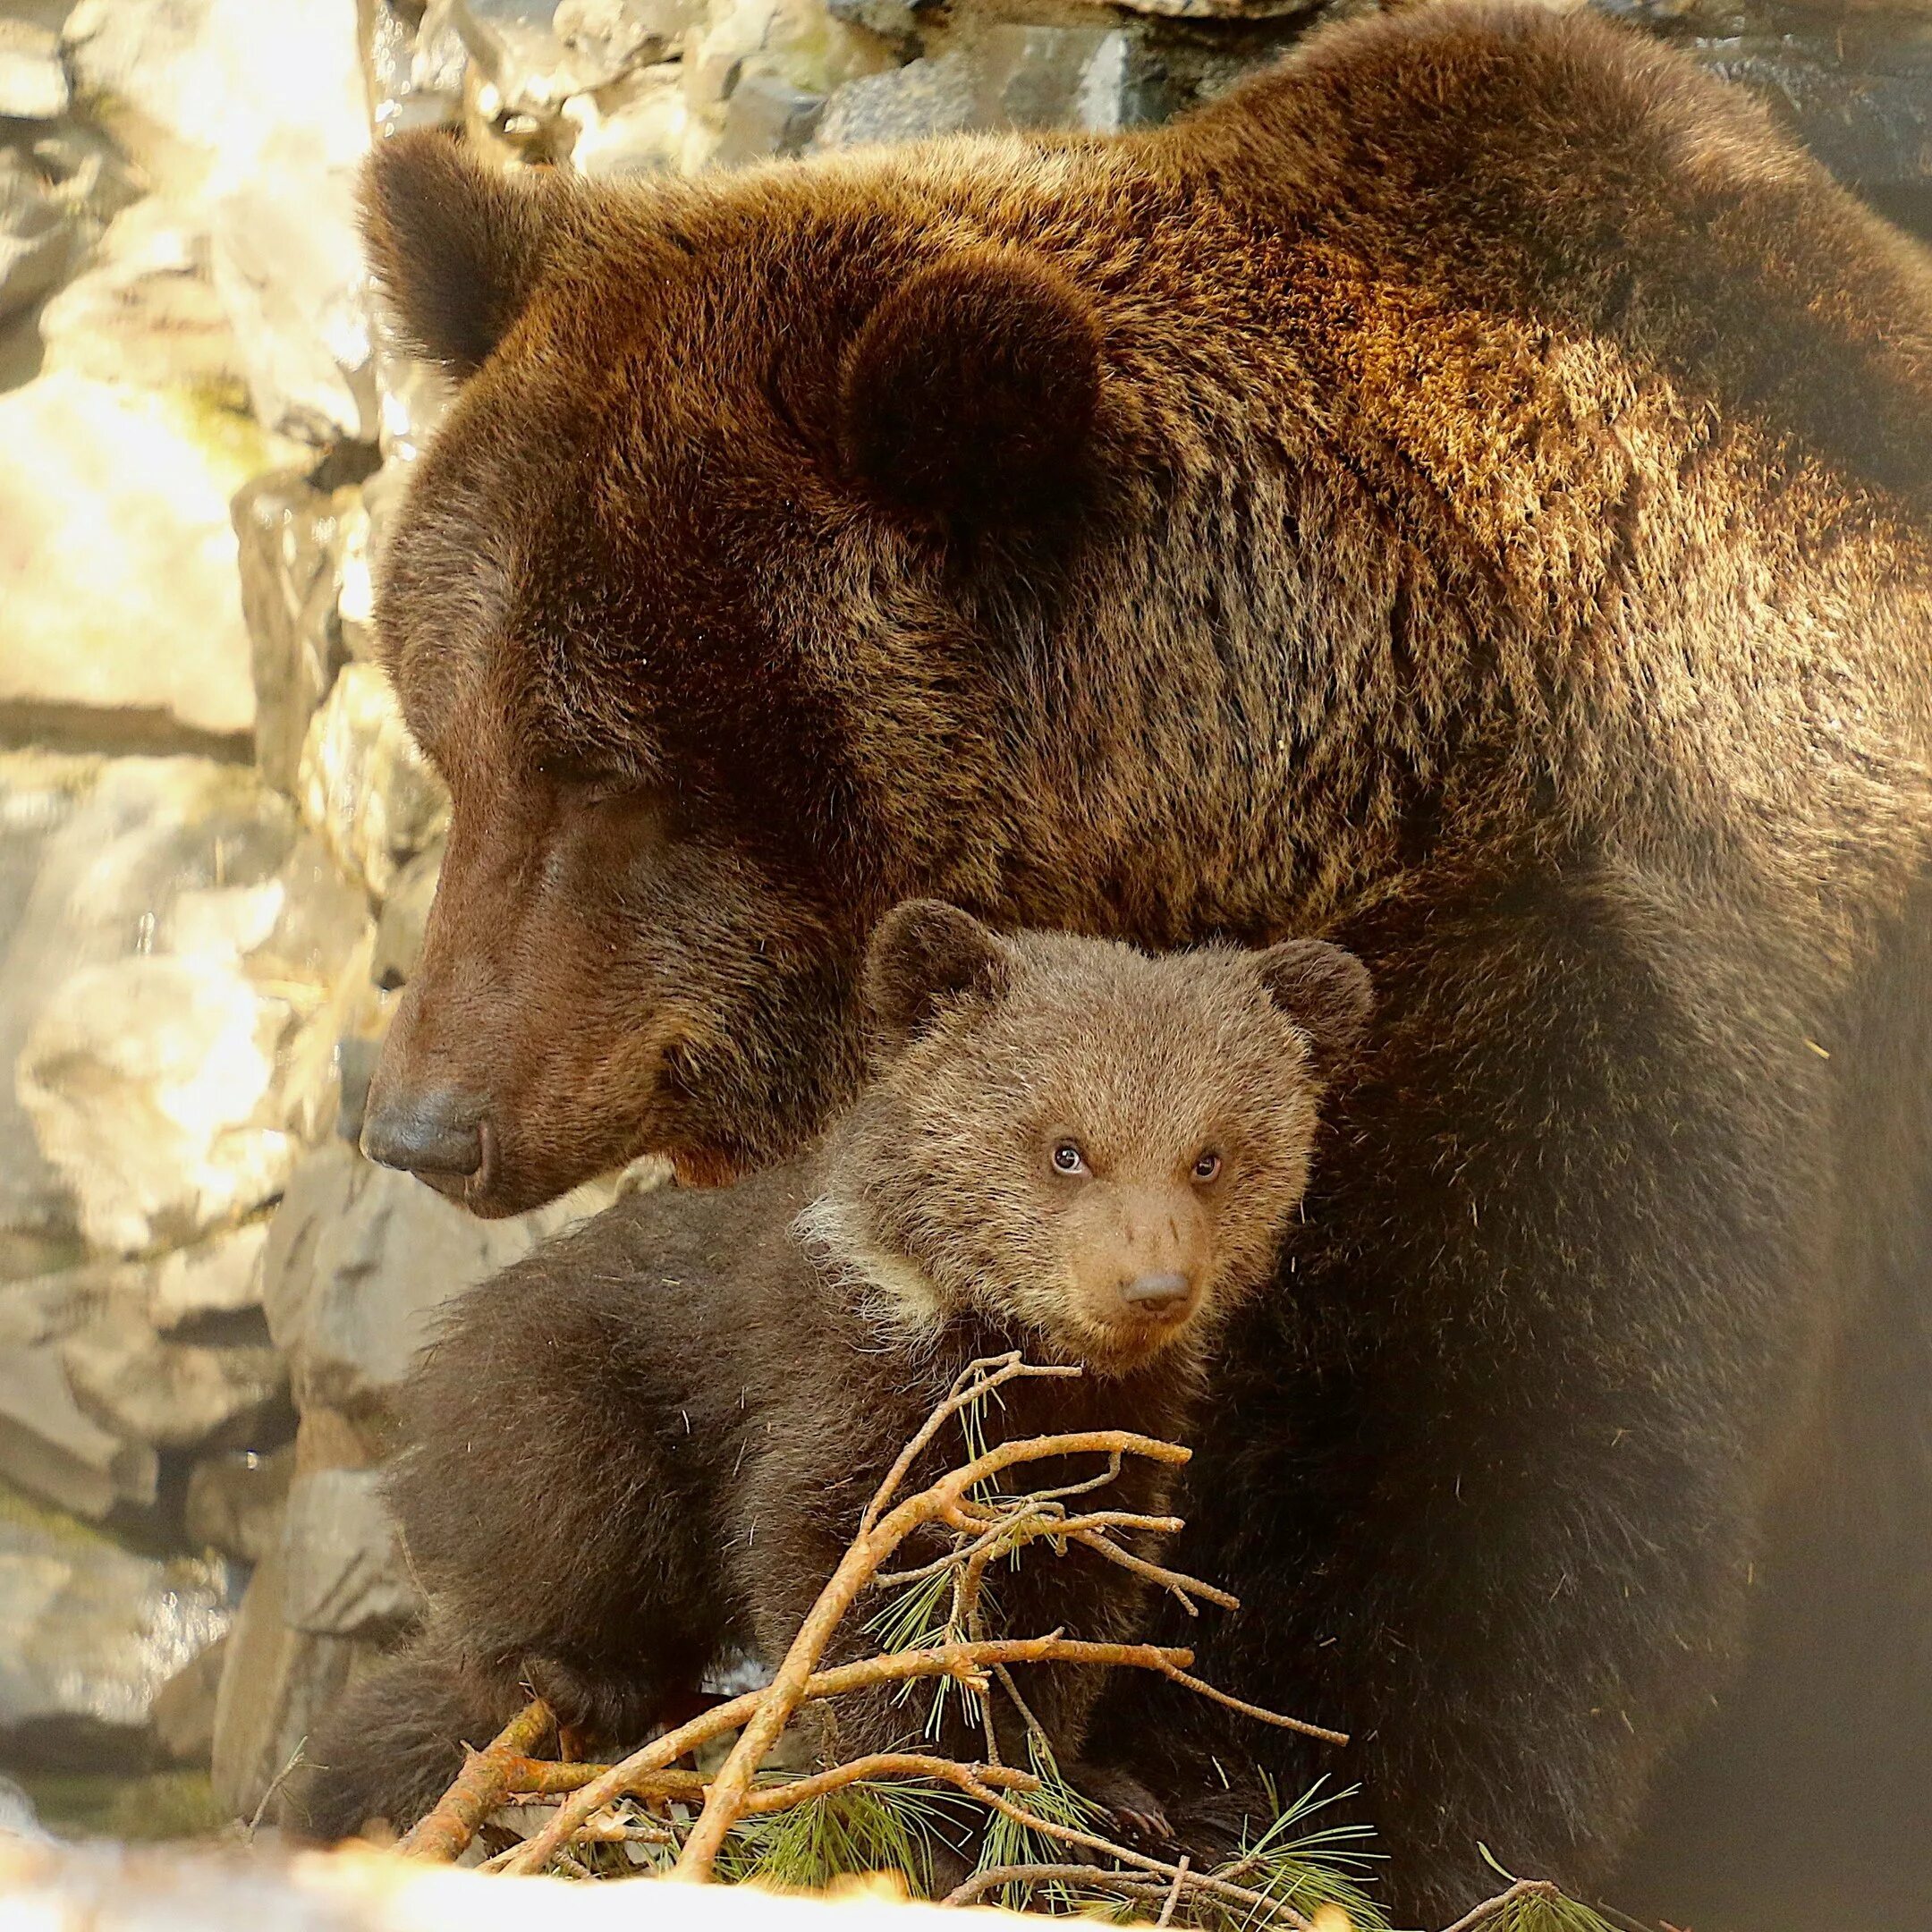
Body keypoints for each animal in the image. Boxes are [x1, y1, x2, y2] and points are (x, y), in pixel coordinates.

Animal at [352, 7, 1932, 1924]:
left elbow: (1469, 1505)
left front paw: (1240, 1794)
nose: (425, 1123)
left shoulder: (1613, 1007)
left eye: (609, 773)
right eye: (453, 737)